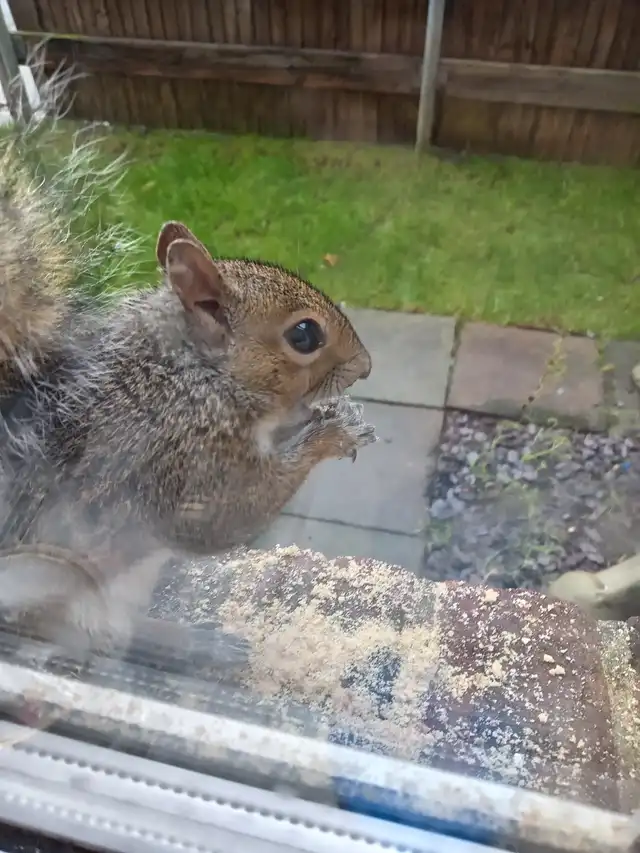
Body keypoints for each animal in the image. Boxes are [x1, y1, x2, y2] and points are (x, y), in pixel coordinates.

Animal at [0, 59, 377, 672]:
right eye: (304, 335)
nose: (365, 367)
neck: (199, 375)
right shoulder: (181, 455)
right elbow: (221, 518)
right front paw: (330, 435)